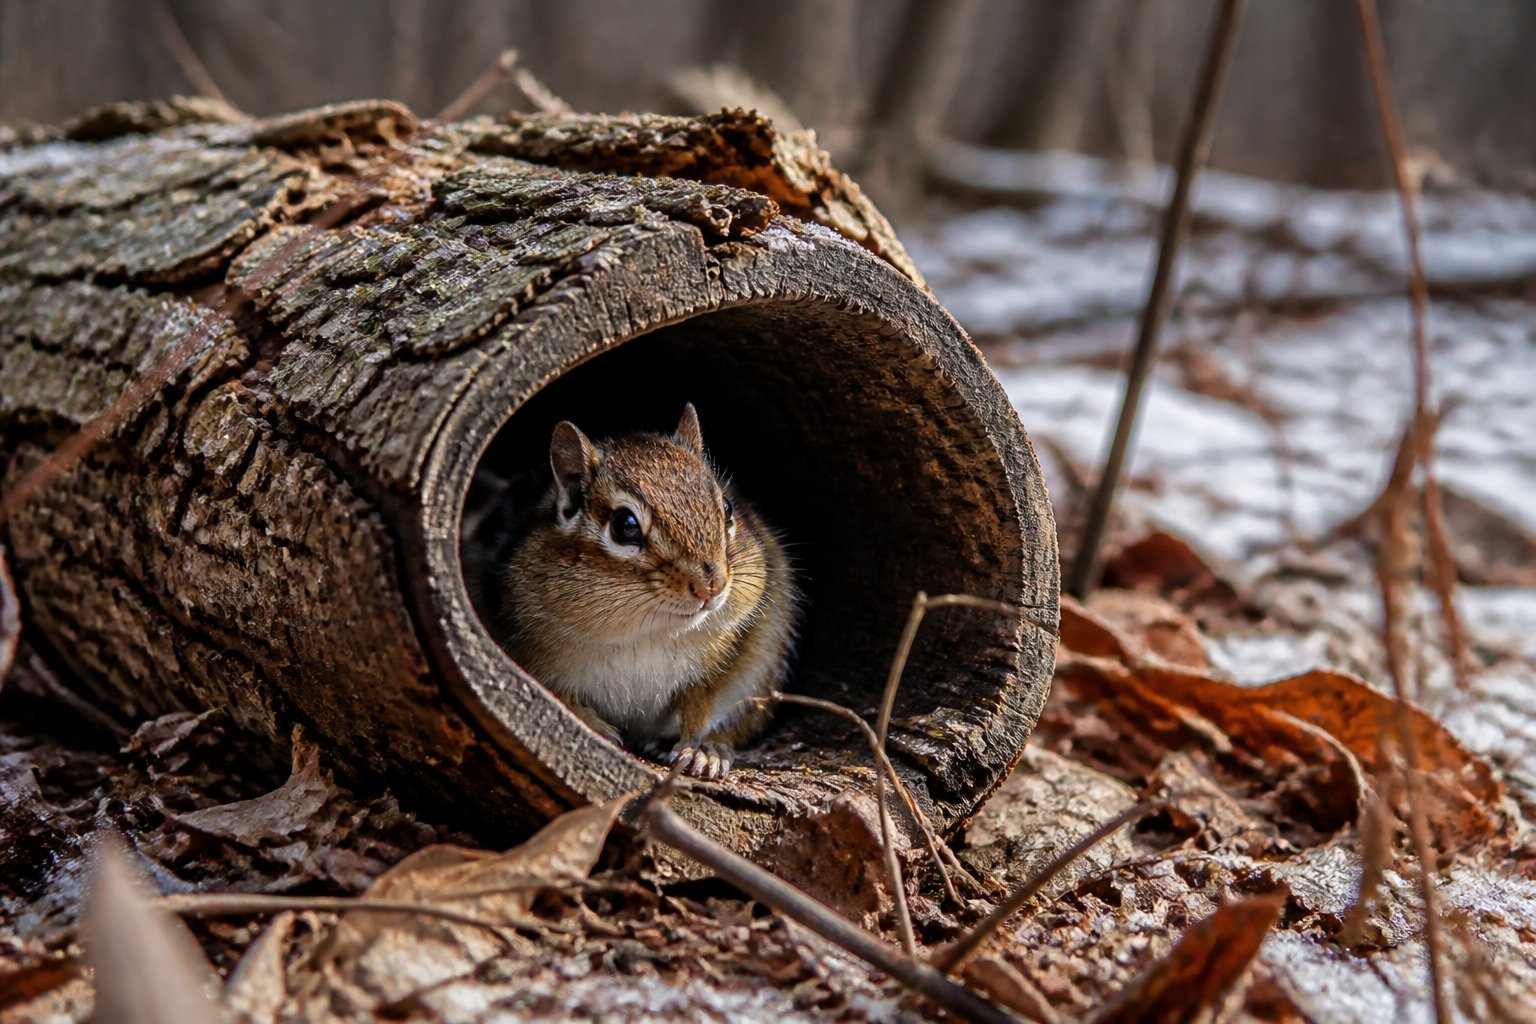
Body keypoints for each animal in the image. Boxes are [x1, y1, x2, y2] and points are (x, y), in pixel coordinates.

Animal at [491, 404, 800, 780]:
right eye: (625, 526)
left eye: (727, 507)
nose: (712, 586)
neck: (649, 631)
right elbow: (558, 693)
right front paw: (590, 723)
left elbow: (703, 701)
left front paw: (702, 748)